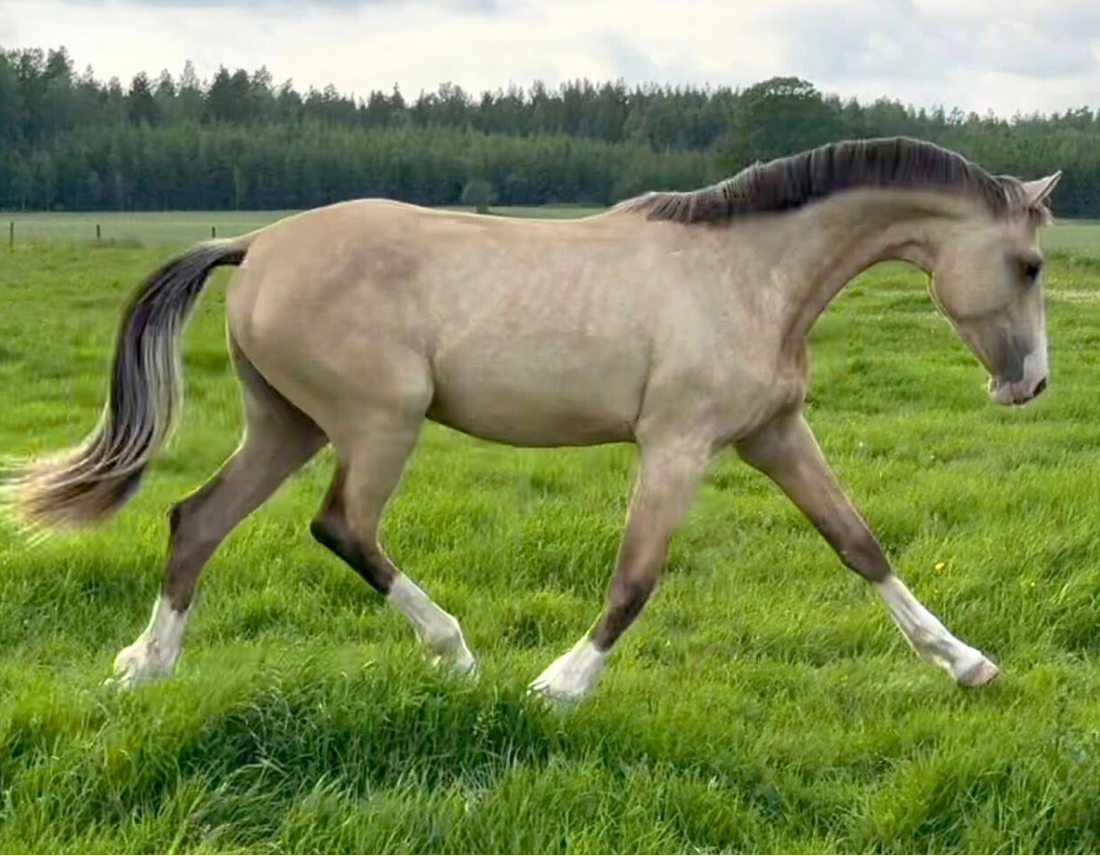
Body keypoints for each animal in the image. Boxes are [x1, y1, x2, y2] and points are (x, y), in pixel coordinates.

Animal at [2, 137, 1060, 702]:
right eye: (1032, 264)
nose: (1031, 387)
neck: (747, 275)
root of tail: (257, 243)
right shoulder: (676, 446)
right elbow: (636, 577)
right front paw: (560, 686)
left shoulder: (774, 435)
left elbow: (859, 544)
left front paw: (966, 664)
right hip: (379, 424)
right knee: (343, 526)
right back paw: (455, 652)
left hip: (286, 426)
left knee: (197, 520)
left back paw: (145, 665)